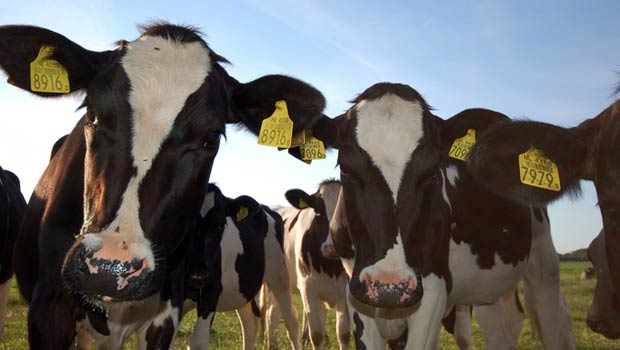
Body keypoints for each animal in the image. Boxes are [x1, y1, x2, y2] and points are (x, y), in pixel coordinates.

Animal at [0, 23, 326, 348]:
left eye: (211, 137)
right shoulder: (48, 309)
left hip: (278, 275)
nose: (109, 267)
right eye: (91, 114)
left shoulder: (167, 312)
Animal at [264, 180, 352, 350]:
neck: (330, 267)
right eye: (317, 212)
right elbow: (316, 335)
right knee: (272, 314)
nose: (331, 248)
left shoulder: (344, 288)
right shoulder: (308, 287)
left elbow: (343, 334)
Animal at [296, 83, 576, 348]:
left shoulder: (433, 289)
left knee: (556, 326)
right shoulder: (357, 292)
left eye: (431, 172)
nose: (389, 288)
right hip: (487, 286)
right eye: (346, 168)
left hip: (544, 263)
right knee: (502, 330)